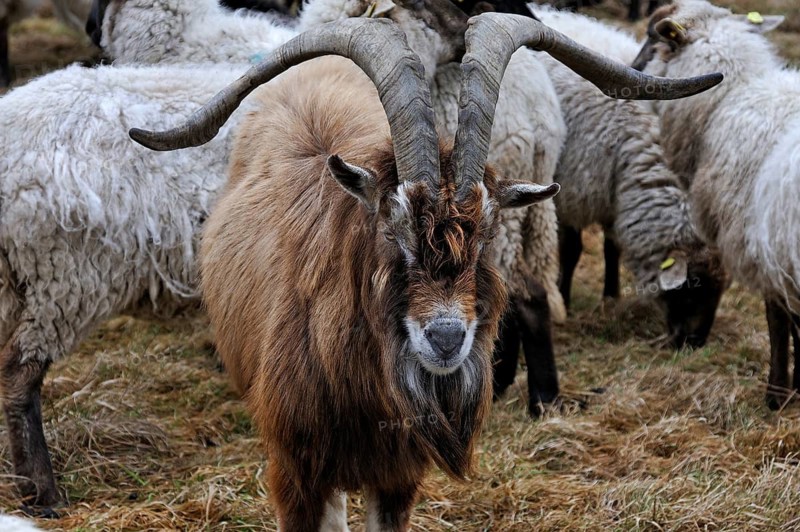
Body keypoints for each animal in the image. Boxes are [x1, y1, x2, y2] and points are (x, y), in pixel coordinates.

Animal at [631, 0, 799, 408]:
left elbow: (778, 320)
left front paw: (777, 395)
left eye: (652, 40)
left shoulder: (762, 246)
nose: (631, 66)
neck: (728, 99)